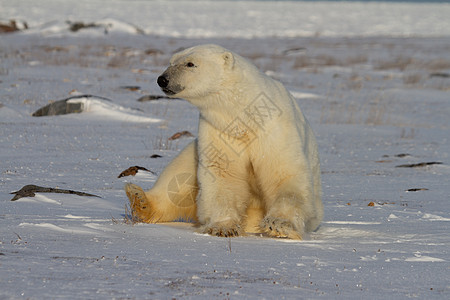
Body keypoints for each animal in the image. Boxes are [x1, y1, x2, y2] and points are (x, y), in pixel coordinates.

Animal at [125, 44, 324, 239]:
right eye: (171, 62)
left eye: (190, 64)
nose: (162, 80)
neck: (244, 112)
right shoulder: (219, 129)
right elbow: (223, 174)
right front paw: (222, 227)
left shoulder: (273, 127)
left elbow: (283, 173)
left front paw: (279, 225)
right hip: (194, 150)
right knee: (178, 174)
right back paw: (139, 198)